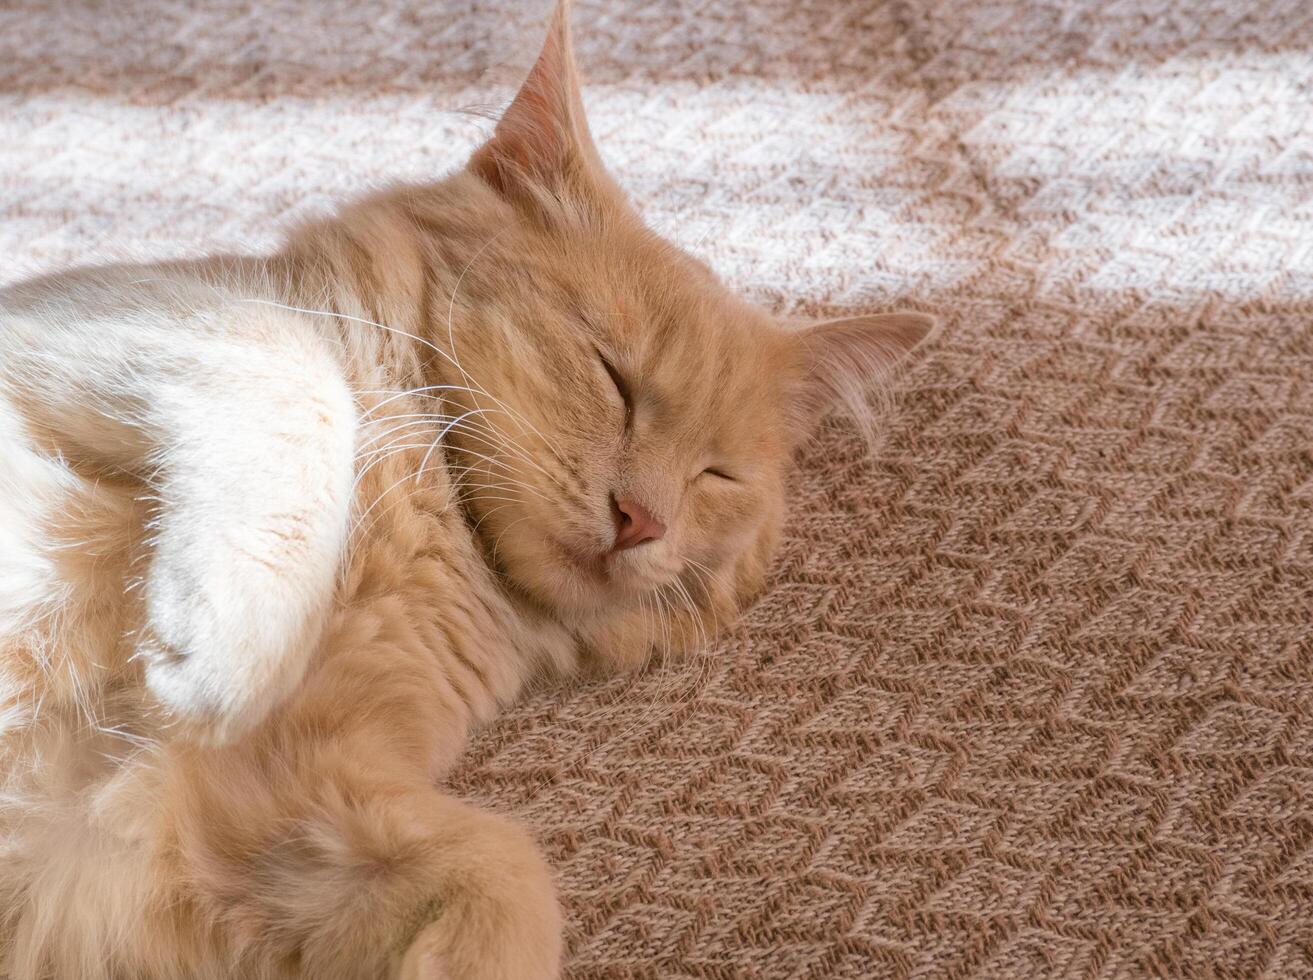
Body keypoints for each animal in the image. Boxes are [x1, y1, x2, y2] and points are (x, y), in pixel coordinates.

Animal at [0, 3, 929, 972]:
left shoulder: (252, 805)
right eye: (614, 379)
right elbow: (301, 381)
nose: (641, 519)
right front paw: (231, 645)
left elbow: (506, 873)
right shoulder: (123, 320)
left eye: (717, 475)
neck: (436, 532)